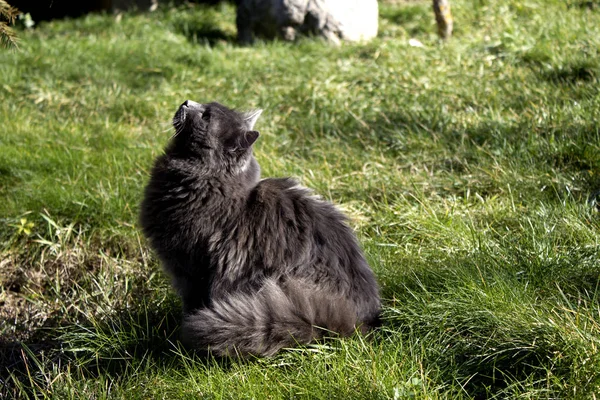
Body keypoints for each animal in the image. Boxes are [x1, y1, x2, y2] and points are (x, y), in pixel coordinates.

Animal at [141, 100, 380, 356]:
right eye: (203, 105)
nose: (186, 102)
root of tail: (361, 322)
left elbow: (191, 305)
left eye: (206, 116)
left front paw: (180, 335)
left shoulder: (190, 270)